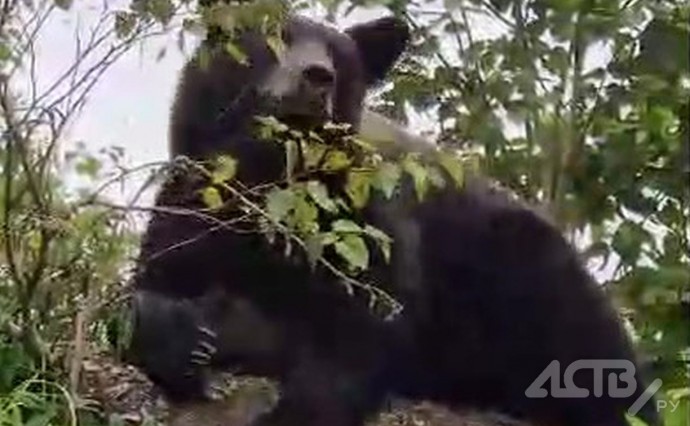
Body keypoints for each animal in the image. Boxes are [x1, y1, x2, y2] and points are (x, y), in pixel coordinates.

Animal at [126, 11, 660, 426]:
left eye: (339, 55)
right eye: (275, 36)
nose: (316, 76)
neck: (271, 181)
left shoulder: (368, 222)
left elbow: (369, 327)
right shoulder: (197, 203)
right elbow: (158, 284)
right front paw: (184, 336)